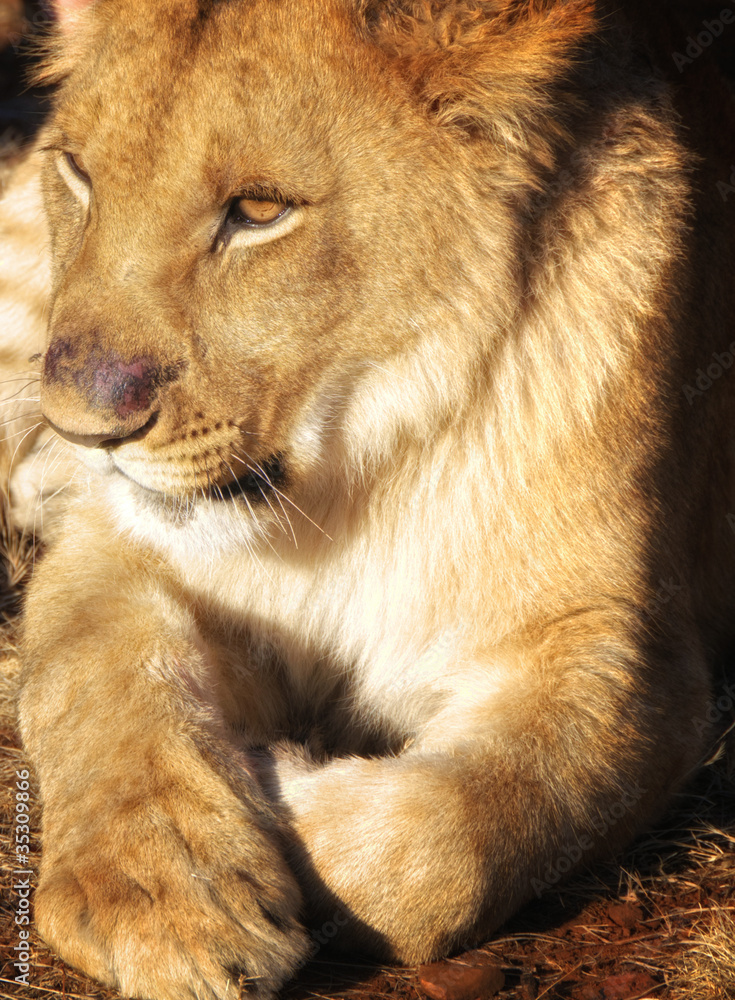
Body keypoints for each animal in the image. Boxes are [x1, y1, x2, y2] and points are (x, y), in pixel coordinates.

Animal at [1, 0, 734, 998]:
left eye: (260, 212)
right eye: (78, 172)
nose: (81, 429)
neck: (348, 478)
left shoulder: (624, 647)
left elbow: (463, 829)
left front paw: (281, 787)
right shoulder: (115, 547)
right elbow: (92, 685)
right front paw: (161, 891)